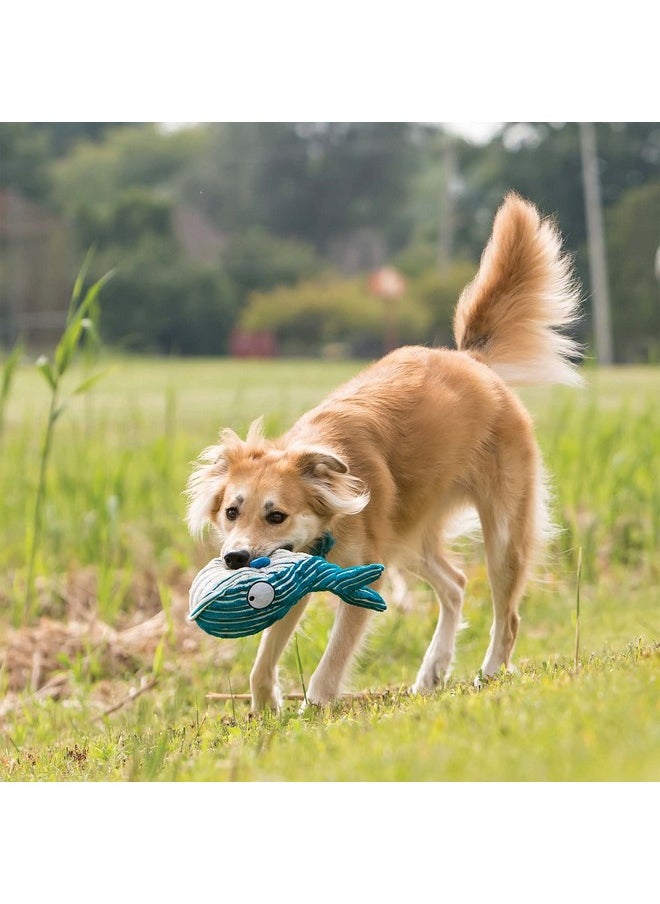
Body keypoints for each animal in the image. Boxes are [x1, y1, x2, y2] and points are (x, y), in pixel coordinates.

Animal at [187, 194, 584, 708]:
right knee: (455, 586)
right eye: (231, 512)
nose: (235, 560)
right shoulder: (295, 576)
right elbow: (261, 662)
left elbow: (332, 661)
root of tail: (472, 362)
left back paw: (490, 672)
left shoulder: (363, 579)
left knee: (507, 616)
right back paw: (433, 668)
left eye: (276, 515)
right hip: (407, 536)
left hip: (500, 535)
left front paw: (314, 706)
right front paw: (264, 709)